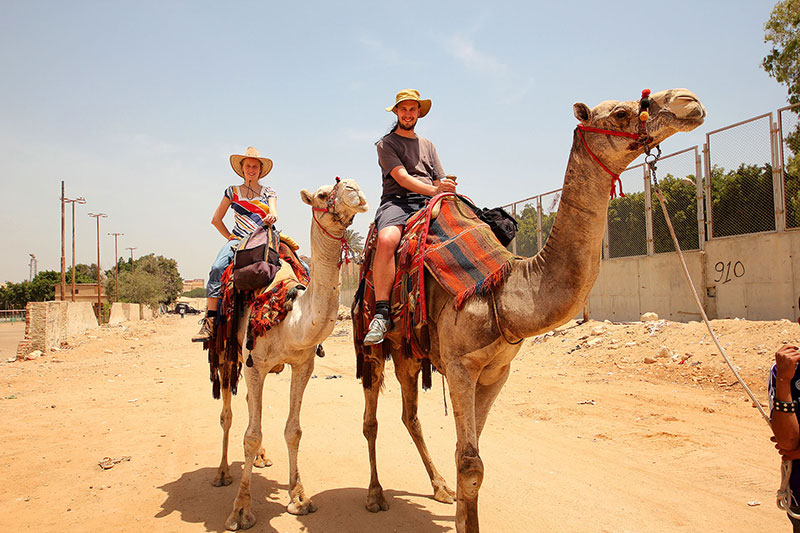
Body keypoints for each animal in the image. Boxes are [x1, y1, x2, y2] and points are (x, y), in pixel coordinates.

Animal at [219, 179, 368, 528]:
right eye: (323, 195)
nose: (355, 189)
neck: (289, 315)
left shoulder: (303, 364)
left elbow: (293, 431)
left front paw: (299, 498)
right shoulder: (255, 364)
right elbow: (250, 434)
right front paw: (240, 510)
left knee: (250, 403)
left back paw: (261, 460)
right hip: (226, 353)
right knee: (227, 413)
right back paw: (221, 474)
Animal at [360, 89, 708, 528]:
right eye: (620, 113)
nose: (688, 101)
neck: (503, 293)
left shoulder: (496, 372)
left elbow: (465, 455)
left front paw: (459, 511)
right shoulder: (459, 366)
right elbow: (471, 465)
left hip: (409, 351)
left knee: (410, 415)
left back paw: (438, 488)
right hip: (372, 343)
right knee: (371, 419)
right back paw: (374, 494)